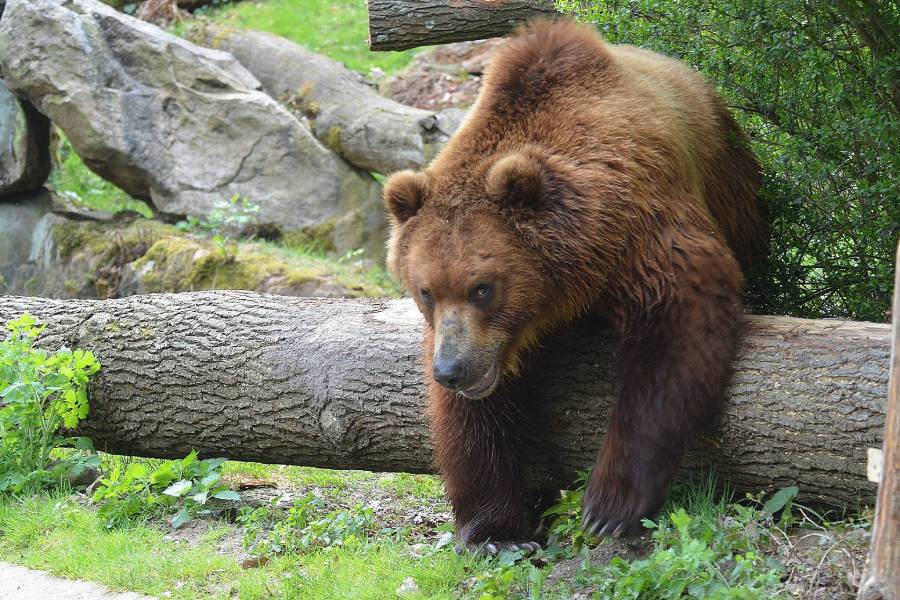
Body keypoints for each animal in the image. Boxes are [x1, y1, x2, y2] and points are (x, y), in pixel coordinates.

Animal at [380, 19, 768, 552]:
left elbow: (677, 325)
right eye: (426, 291)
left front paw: (608, 507)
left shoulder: (639, 225)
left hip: (733, 185)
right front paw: (494, 528)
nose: (452, 370)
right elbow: (476, 418)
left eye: (483, 287)